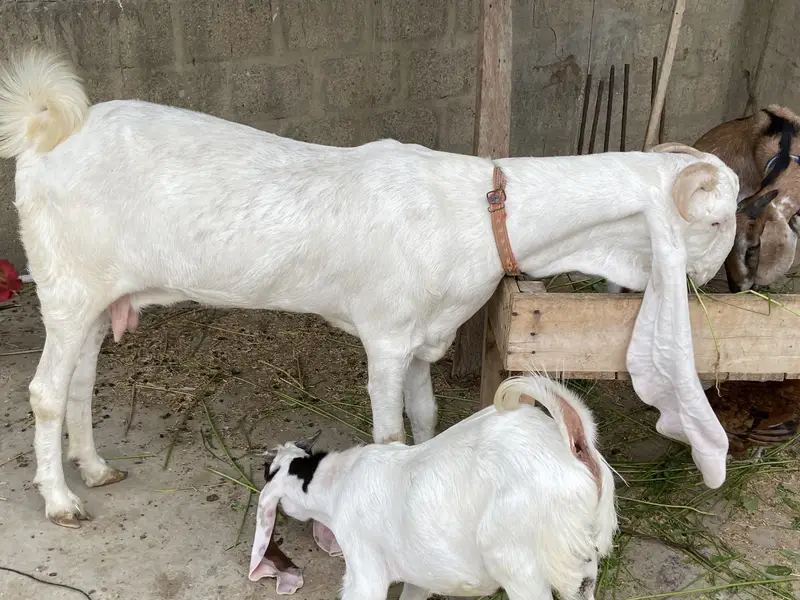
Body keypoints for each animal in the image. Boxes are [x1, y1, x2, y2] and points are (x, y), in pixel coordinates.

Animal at [0, 48, 738, 528]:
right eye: (719, 218)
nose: (715, 280)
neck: (481, 213)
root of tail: (43, 133)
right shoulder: (384, 338)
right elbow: (389, 435)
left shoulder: (423, 341)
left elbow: (426, 420)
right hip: (65, 287)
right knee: (45, 392)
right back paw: (62, 501)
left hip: (98, 296)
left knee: (79, 384)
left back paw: (95, 467)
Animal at [249, 375, 618, 600]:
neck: (336, 481)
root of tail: (572, 447)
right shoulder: (418, 572)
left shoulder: (364, 565)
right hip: (582, 558)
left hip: (519, 562)